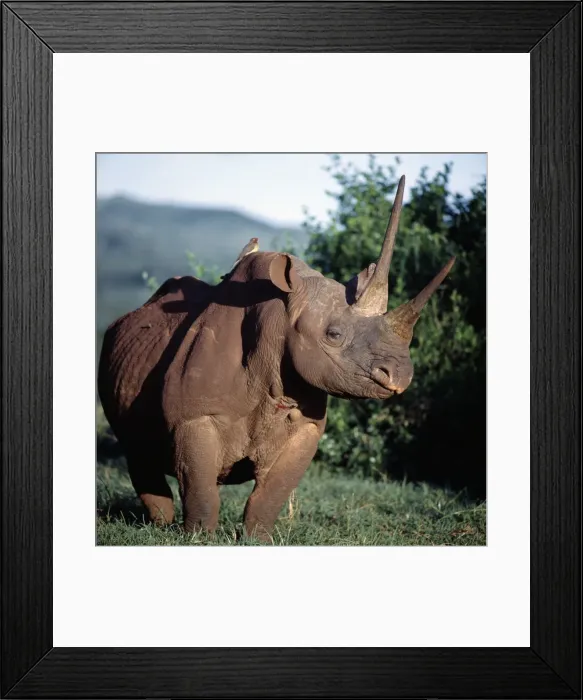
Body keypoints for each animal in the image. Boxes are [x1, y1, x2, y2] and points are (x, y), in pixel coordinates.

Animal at [98, 176, 454, 541]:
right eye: (333, 335)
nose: (400, 376)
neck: (281, 315)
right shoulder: (193, 416)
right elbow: (200, 487)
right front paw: (198, 539)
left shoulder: (306, 425)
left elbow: (272, 492)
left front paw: (257, 540)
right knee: (137, 450)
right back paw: (160, 525)